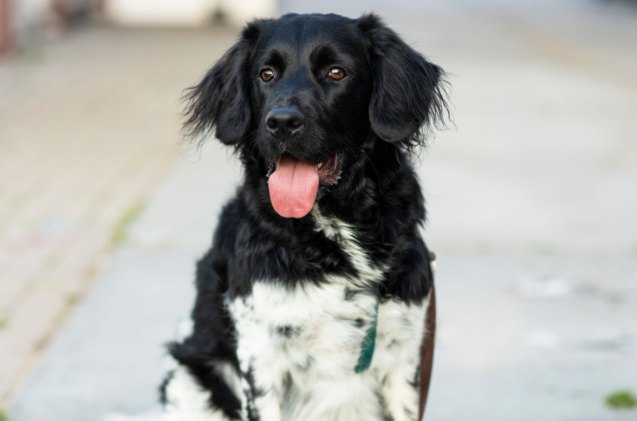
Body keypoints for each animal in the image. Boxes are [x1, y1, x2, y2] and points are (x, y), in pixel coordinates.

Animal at [159, 12, 448, 420]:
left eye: (336, 72)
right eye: (266, 74)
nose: (281, 122)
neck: (336, 235)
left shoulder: (404, 350)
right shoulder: (262, 355)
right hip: (190, 379)